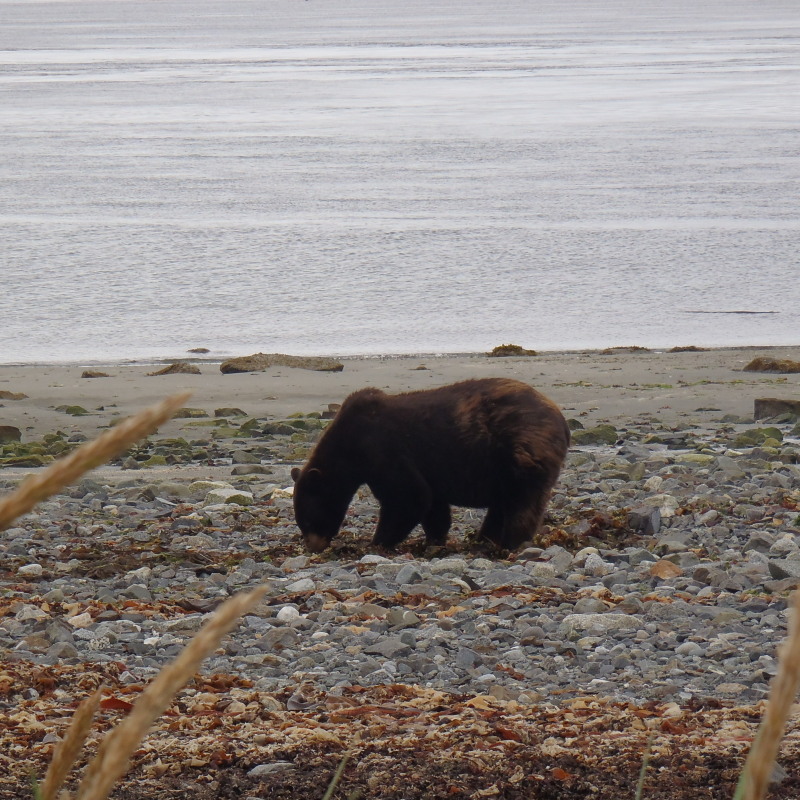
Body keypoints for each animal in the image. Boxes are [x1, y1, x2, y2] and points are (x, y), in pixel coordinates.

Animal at [290, 378, 572, 552]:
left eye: (308, 519)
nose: (313, 546)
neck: (350, 447)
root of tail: (560, 417)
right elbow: (433, 504)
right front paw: (433, 539)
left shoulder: (384, 450)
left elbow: (407, 497)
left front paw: (377, 541)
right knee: (504, 501)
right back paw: (484, 538)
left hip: (520, 450)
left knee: (521, 500)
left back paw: (510, 541)